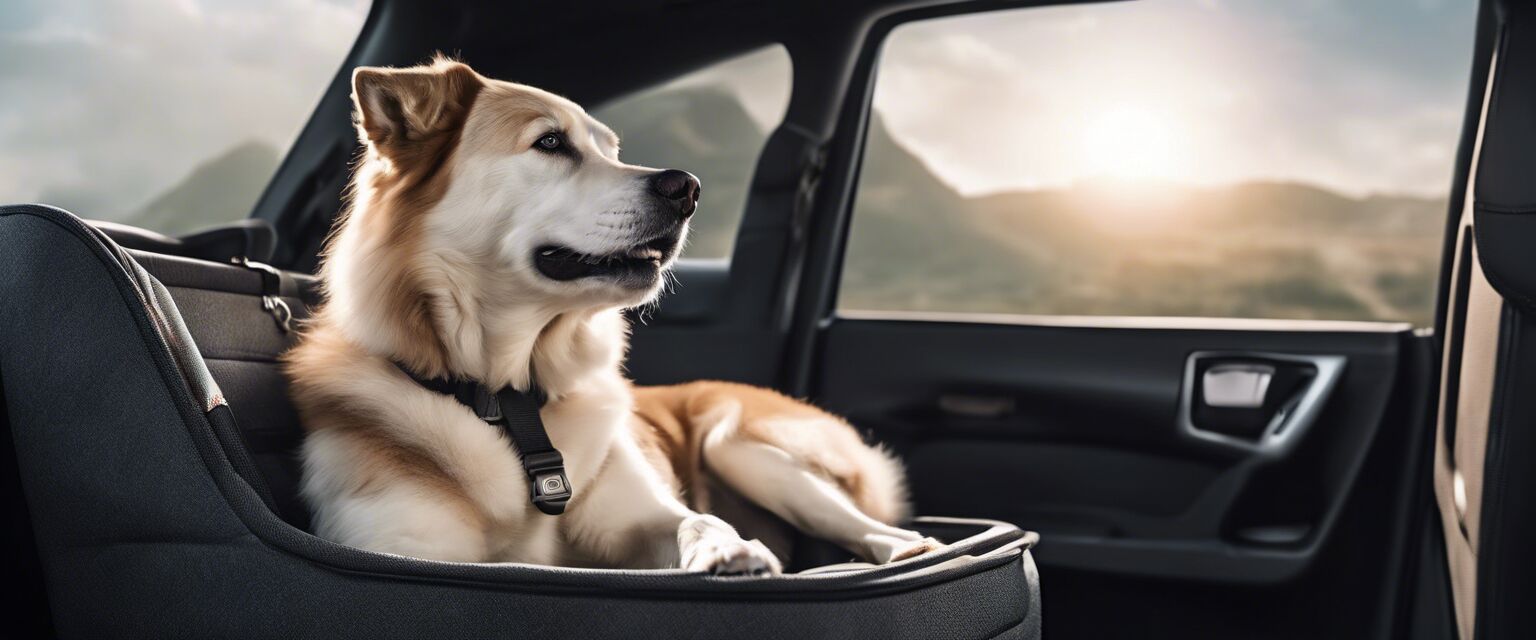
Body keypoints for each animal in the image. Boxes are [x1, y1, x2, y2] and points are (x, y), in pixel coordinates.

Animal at [282, 57, 940, 570]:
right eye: (550, 142)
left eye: (612, 150)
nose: (687, 189)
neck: (512, 400)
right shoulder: (400, 546)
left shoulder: (642, 514)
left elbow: (698, 521)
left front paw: (729, 549)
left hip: (740, 444)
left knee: (876, 527)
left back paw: (909, 549)